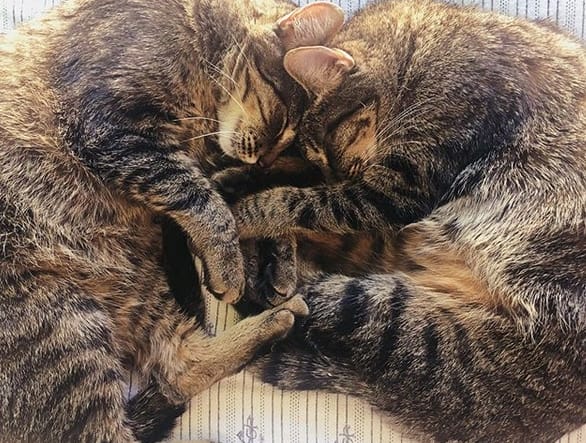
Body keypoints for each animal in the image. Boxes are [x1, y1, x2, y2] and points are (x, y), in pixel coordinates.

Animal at [0, 0, 345, 441]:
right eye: (282, 122)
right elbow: (203, 202)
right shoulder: (110, 128)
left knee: (179, 368)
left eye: (290, 147)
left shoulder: (207, 160)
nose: (264, 160)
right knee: (114, 424)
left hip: (141, 287)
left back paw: (276, 318)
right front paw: (232, 265)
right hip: (62, 323)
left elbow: (255, 201)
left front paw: (276, 260)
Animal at [231, 0, 586, 441]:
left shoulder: (401, 185)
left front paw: (247, 211)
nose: (336, 175)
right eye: (318, 158)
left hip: (393, 317)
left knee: (299, 307)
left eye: (328, 145)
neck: (419, 60)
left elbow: (304, 203)